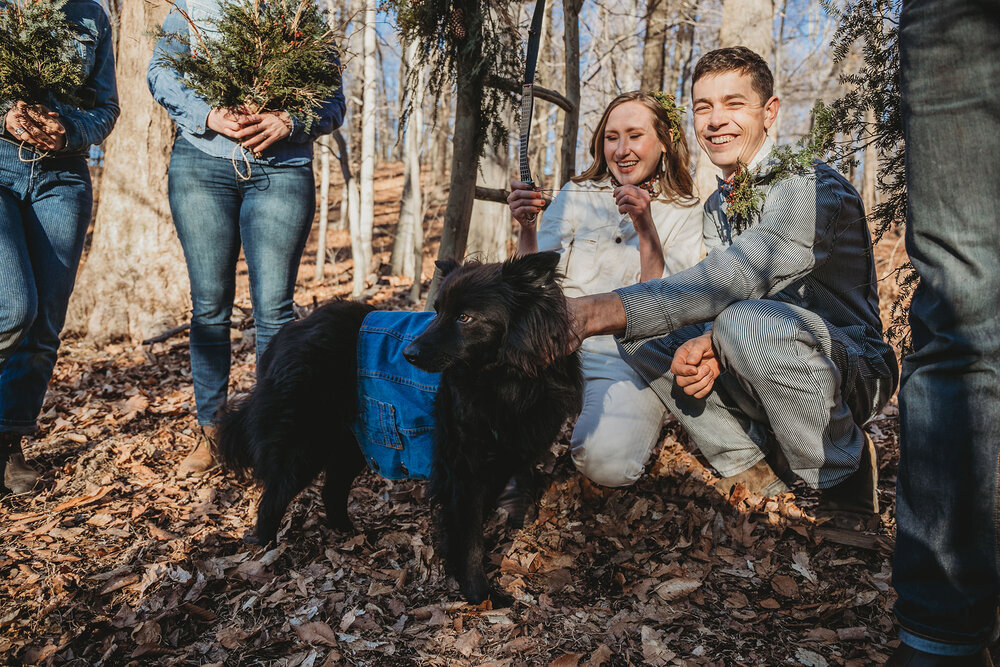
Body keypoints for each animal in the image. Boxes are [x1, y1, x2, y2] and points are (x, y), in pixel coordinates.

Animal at [215, 252, 584, 604]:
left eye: (464, 318)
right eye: (436, 312)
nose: (408, 354)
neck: (505, 379)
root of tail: (288, 333)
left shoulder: (498, 462)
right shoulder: (463, 471)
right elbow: (470, 538)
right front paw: (479, 594)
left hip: (353, 443)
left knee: (331, 490)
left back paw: (348, 533)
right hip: (304, 446)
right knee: (273, 499)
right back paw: (263, 549)